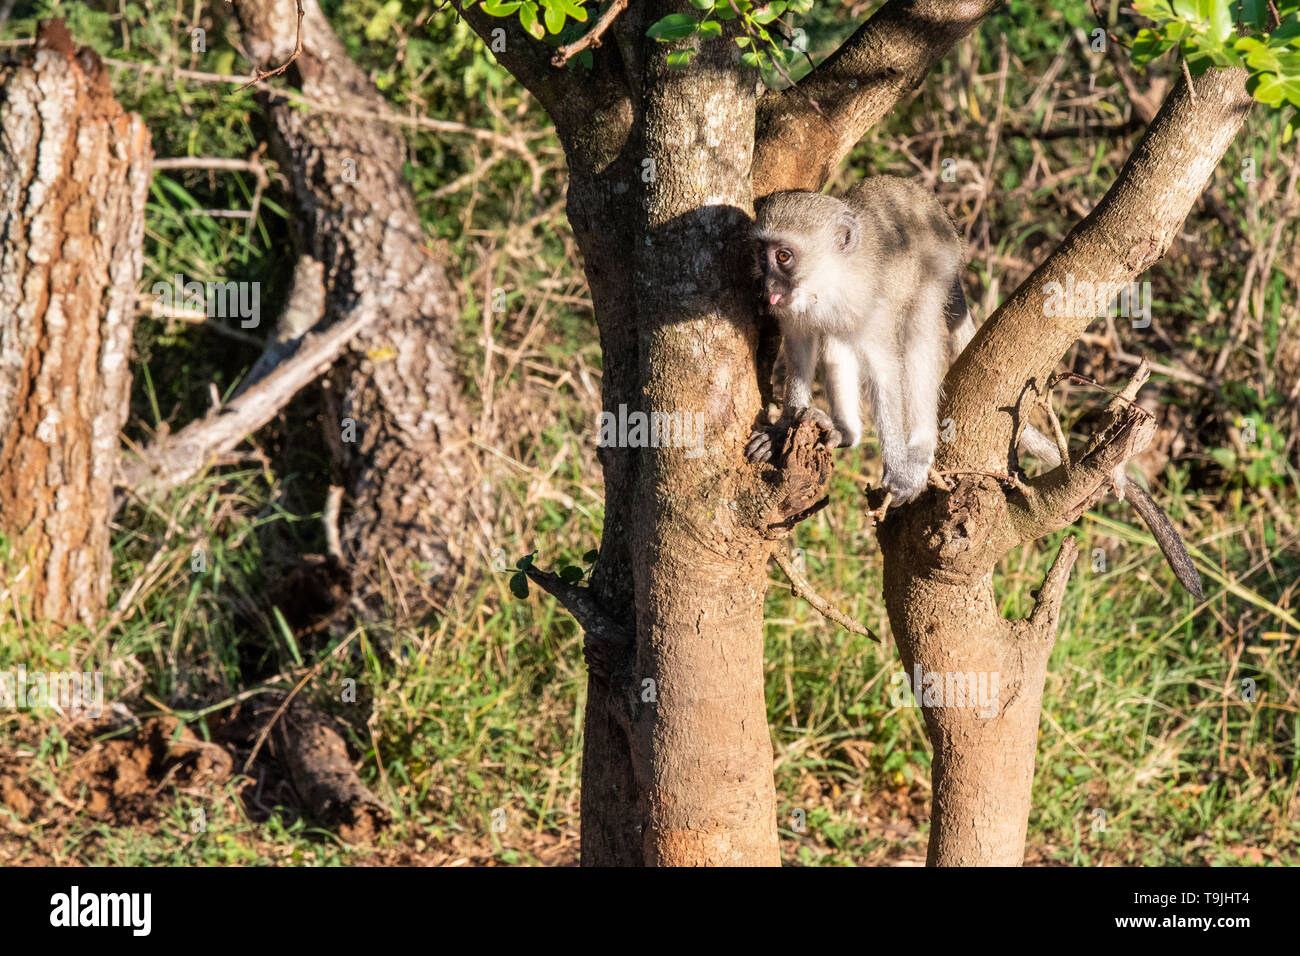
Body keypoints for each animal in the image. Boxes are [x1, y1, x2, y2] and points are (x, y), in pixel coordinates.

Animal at [748, 178, 1201, 595]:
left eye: (783, 256)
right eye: (762, 254)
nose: (766, 287)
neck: (830, 283)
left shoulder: (872, 306)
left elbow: (886, 371)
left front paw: (901, 468)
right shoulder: (800, 312)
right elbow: (802, 346)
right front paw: (784, 427)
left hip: (935, 273)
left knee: (918, 335)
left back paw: (917, 449)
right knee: (838, 342)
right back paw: (844, 432)